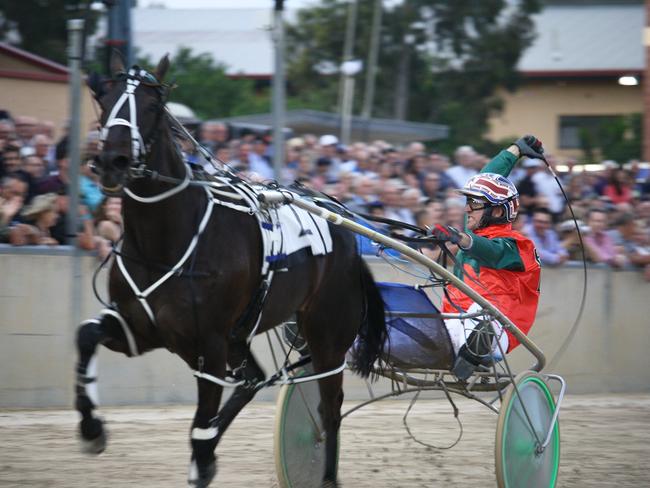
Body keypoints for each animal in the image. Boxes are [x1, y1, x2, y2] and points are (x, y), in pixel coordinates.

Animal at [72, 51, 384, 486]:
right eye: (104, 99)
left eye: (152, 106)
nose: (111, 161)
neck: (168, 238)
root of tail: (347, 232)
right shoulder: (141, 330)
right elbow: (86, 336)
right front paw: (91, 428)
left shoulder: (209, 344)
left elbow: (201, 423)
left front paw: (202, 460)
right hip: (243, 336)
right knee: (253, 379)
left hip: (327, 337)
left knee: (330, 407)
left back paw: (324, 474)